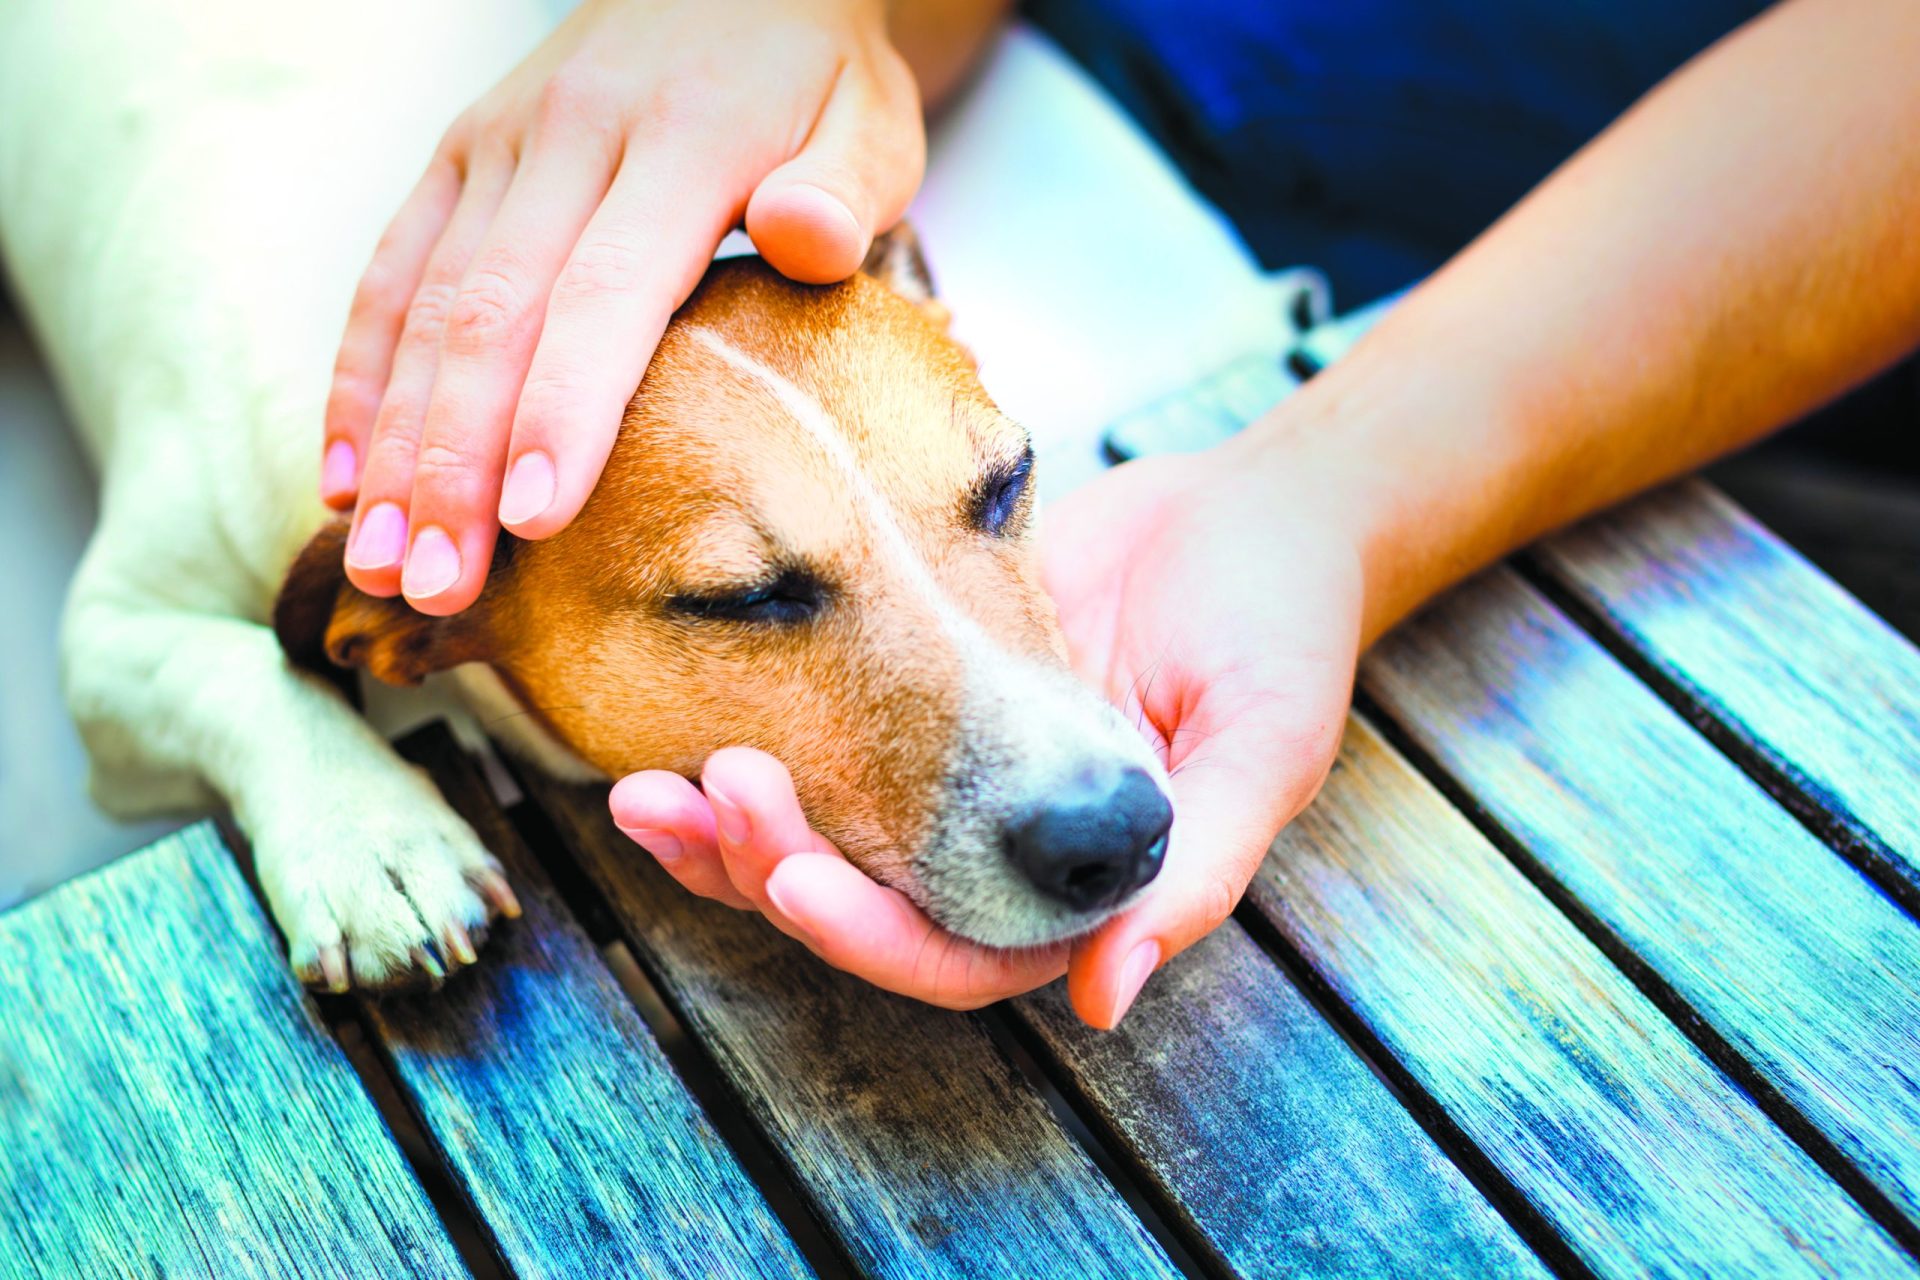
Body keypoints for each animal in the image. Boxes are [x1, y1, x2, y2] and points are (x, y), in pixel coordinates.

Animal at [0, 0, 1167, 990]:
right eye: (743, 600)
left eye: (1008, 484)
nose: (1114, 831)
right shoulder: (109, 636)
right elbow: (241, 668)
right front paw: (371, 838)